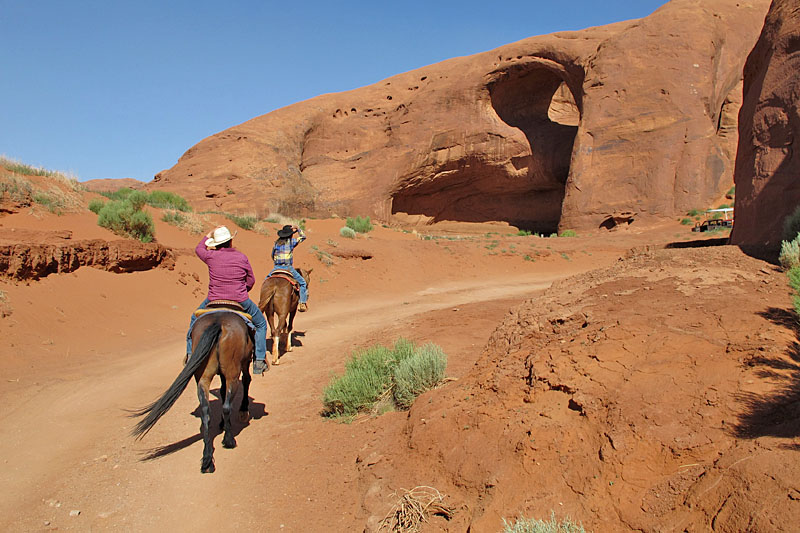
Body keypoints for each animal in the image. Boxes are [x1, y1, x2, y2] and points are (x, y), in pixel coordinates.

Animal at [130, 310, 253, 472]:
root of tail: (218, 322)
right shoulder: (244, 363)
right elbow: (244, 381)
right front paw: (243, 411)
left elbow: (221, 391)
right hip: (232, 372)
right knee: (227, 405)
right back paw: (228, 441)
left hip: (203, 377)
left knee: (205, 412)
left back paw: (207, 459)